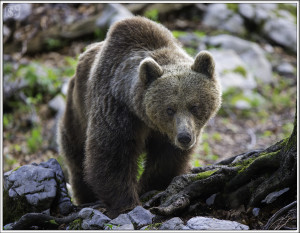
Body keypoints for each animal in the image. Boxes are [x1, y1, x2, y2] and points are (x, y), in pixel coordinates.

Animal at [58, 15, 221, 217]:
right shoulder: (116, 109)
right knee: (76, 155)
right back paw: (86, 196)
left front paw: (150, 186)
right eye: (170, 109)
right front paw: (127, 203)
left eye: (194, 106)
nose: (184, 137)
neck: (143, 116)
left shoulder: (166, 134)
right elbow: (111, 155)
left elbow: (167, 159)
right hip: (76, 110)